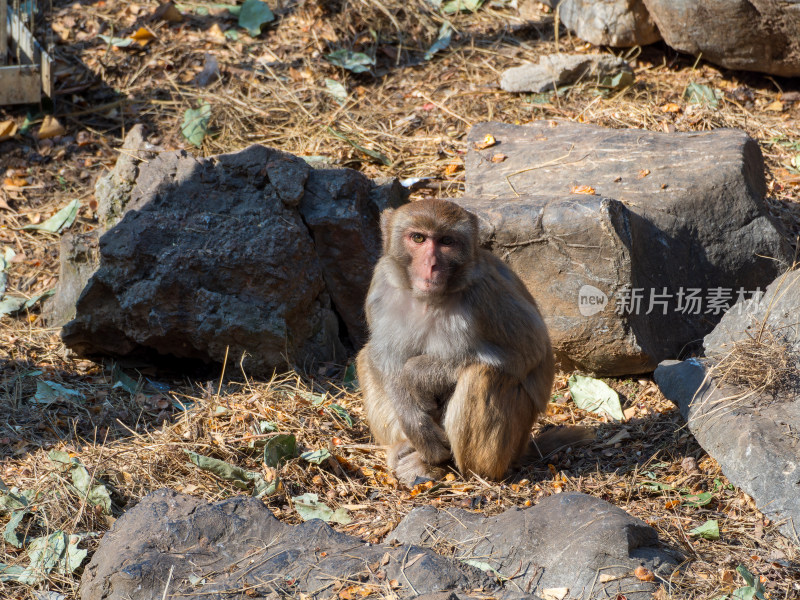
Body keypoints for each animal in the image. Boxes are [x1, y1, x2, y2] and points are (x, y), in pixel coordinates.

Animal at [356, 199, 556, 486]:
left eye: (446, 241)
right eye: (418, 238)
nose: (431, 265)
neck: (428, 300)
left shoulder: (487, 294)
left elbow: (531, 354)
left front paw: (415, 374)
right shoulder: (381, 287)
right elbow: (385, 357)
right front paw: (414, 421)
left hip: (512, 443)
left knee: (483, 373)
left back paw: (464, 470)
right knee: (366, 357)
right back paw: (405, 449)